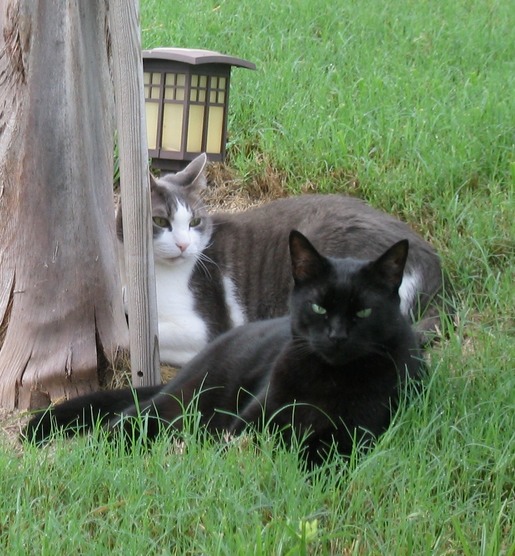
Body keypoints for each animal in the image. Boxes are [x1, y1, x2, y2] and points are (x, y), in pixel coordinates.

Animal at [24, 230, 426, 464]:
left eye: (363, 312)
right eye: (318, 308)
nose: (337, 336)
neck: (326, 379)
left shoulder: (355, 434)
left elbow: (318, 455)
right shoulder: (253, 416)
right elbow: (236, 441)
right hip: (187, 396)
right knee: (128, 418)